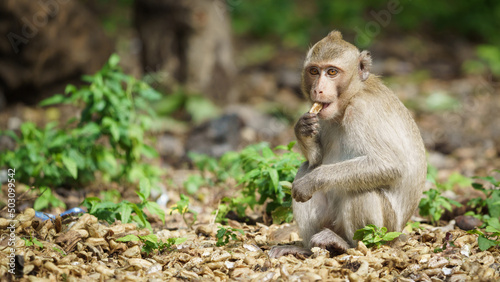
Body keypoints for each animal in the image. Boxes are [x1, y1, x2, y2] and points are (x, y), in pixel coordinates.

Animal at [270, 30, 426, 258]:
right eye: (314, 71)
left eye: (332, 72)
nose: (318, 90)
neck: (350, 98)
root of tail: (398, 236)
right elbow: (316, 160)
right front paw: (302, 130)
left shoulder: (363, 110)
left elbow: (389, 166)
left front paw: (312, 180)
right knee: (305, 168)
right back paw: (306, 249)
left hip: (385, 232)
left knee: (362, 192)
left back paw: (346, 245)